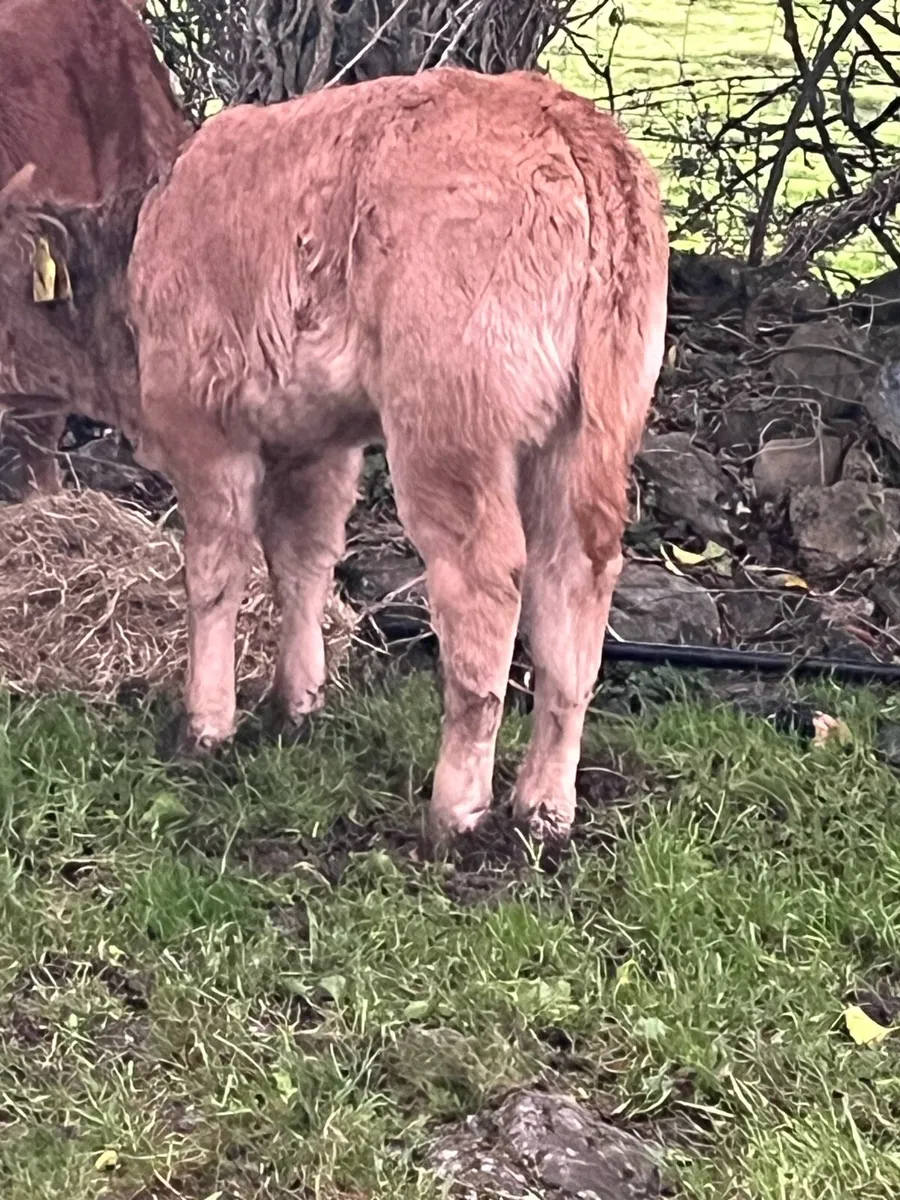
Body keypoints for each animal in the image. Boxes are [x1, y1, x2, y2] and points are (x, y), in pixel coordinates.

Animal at [0, 68, 668, 846]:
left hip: (446, 429)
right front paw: (298, 703)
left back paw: (455, 810)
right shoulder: (315, 439)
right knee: (574, 584)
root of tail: (560, 114)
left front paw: (206, 725)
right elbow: (303, 562)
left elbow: (215, 574)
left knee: (485, 587)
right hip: (584, 434)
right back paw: (544, 806)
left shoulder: (207, 434)